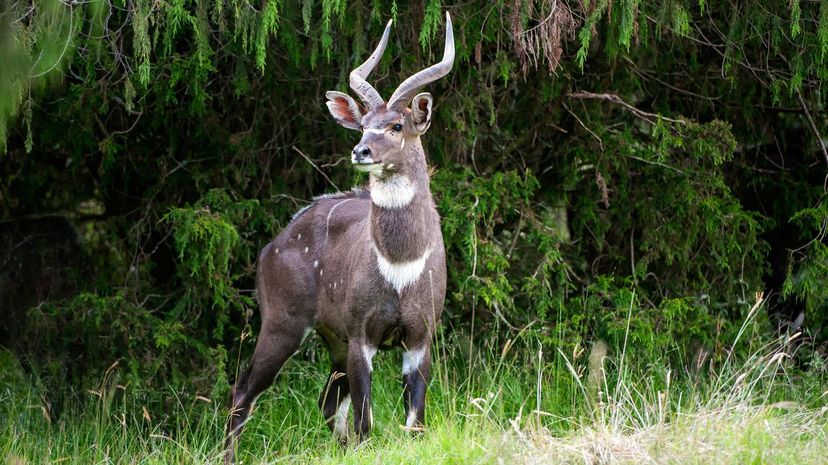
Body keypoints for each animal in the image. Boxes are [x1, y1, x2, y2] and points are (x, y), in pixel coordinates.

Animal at [225, 12, 452, 462]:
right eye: (363, 125)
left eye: (397, 125)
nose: (361, 151)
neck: (401, 263)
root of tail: (269, 249)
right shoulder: (362, 334)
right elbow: (367, 422)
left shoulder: (420, 335)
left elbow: (414, 422)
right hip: (282, 324)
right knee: (243, 392)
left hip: (332, 341)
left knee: (327, 401)